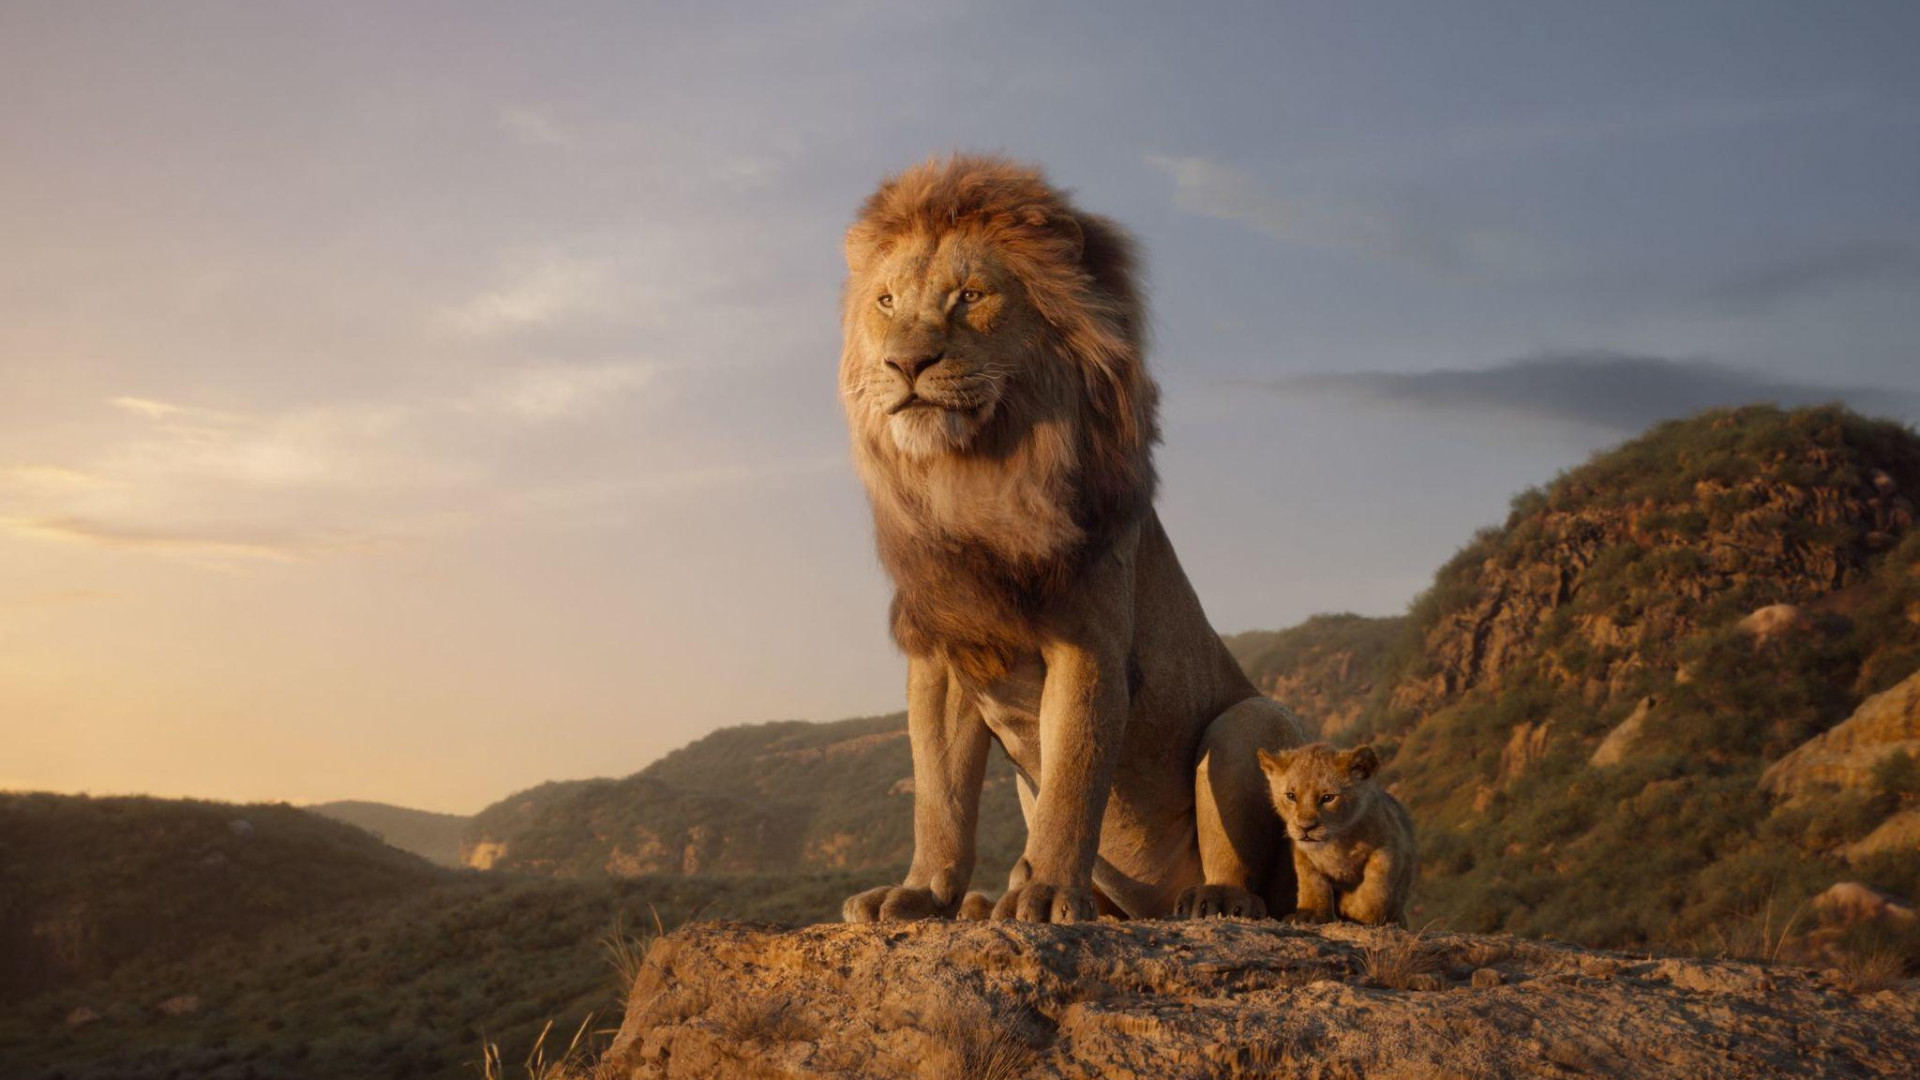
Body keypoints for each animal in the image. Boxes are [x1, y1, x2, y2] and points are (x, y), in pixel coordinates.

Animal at [836, 155, 1309, 924]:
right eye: (885, 302)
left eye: (970, 296)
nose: (905, 364)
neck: (975, 479)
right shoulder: (944, 653)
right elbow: (939, 796)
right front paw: (922, 893)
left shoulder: (1089, 644)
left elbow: (1073, 780)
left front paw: (1048, 893)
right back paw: (986, 902)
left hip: (1250, 721)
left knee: (1248, 873)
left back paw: (1211, 900)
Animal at [1257, 743, 1416, 926]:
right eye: (1291, 796)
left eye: (1328, 798)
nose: (1305, 827)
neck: (1336, 842)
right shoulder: (1303, 855)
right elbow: (1312, 883)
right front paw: (1310, 914)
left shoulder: (1389, 846)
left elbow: (1375, 889)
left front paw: (1352, 908)